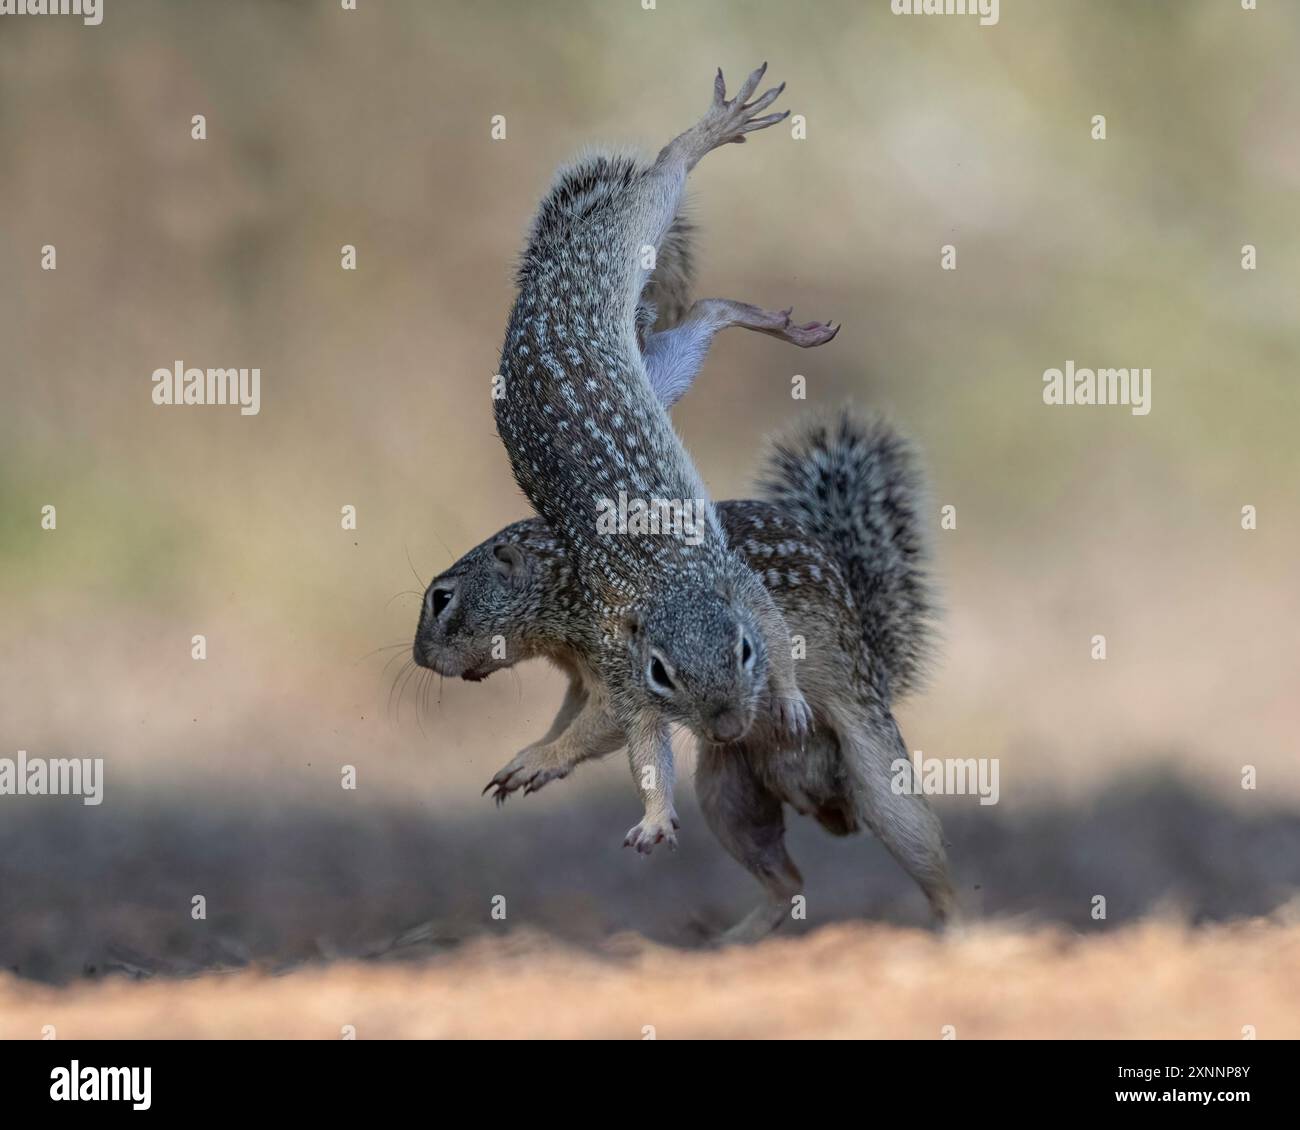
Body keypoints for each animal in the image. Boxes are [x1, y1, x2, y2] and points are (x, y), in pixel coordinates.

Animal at [412, 409, 954, 940]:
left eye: (442, 598)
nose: (419, 656)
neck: (564, 585)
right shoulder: (585, 676)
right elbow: (569, 717)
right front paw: (530, 755)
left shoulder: (616, 671)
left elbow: (600, 725)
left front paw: (541, 760)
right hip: (727, 797)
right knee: (789, 884)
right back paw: (731, 942)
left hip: (874, 767)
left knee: (925, 858)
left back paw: (955, 930)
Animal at [493, 63, 837, 852]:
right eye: (661, 672)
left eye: (744, 653)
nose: (731, 726)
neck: (667, 583)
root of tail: (538, 284)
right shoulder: (625, 662)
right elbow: (644, 742)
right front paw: (653, 818)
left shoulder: (739, 584)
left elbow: (778, 626)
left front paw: (791, 701)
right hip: (660, 365)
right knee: (708, 311)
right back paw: (769, 318)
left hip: (626, 244)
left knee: (664, 174)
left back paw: (715, 127)